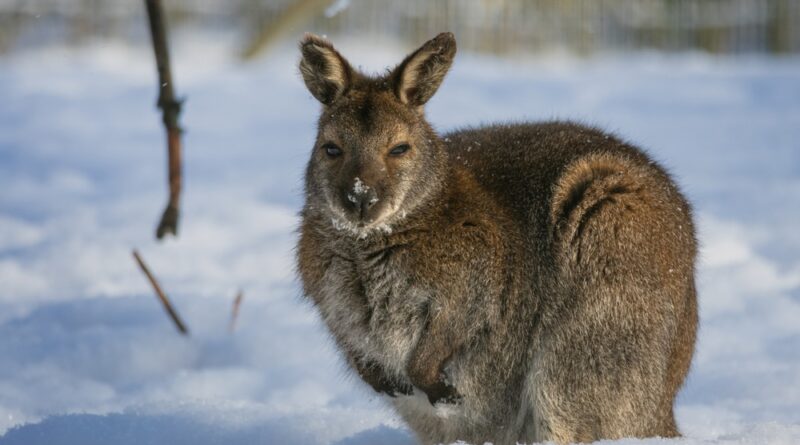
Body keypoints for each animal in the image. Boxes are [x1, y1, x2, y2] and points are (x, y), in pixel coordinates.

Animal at [295, 32, 697, 445]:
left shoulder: (482, 278)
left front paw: (438, 388)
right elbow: (358, 349)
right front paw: (391, 382)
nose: (360, 199)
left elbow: (445, 337)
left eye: (399, 149)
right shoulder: (331, 302)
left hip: (597, 310)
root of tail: (663, 409)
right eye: (331, 149)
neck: (371, 243)